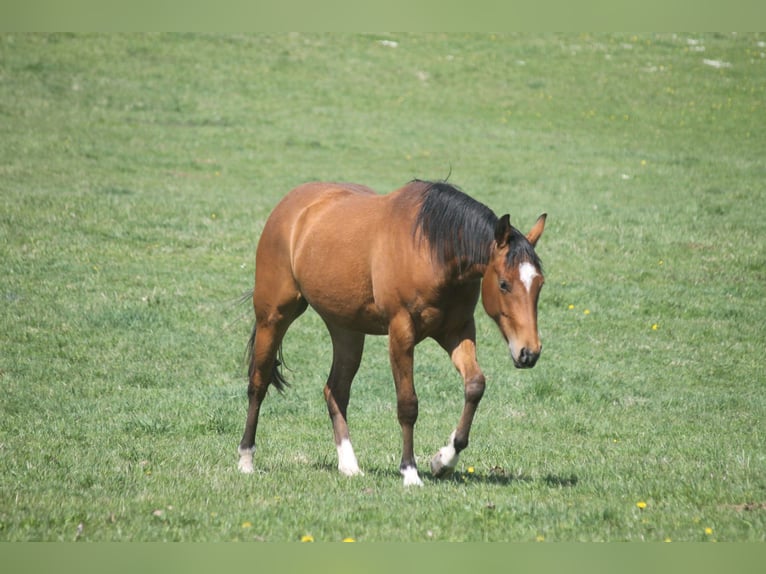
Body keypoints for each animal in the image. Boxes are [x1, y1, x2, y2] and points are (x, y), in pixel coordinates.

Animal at [237, 179, 546, 486]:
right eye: (504, 284)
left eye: (540, 283)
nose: (528, 352)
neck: (432, 250)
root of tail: (290, 205)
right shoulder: (401, 333)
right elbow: (408, 405)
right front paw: (410, 471)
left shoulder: (457, 331)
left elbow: (475, 386)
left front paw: (443, 461)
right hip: (273, 317)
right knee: (258, 384)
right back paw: (246, 459)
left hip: (346, 330)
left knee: (336, 391)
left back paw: (349, 465)